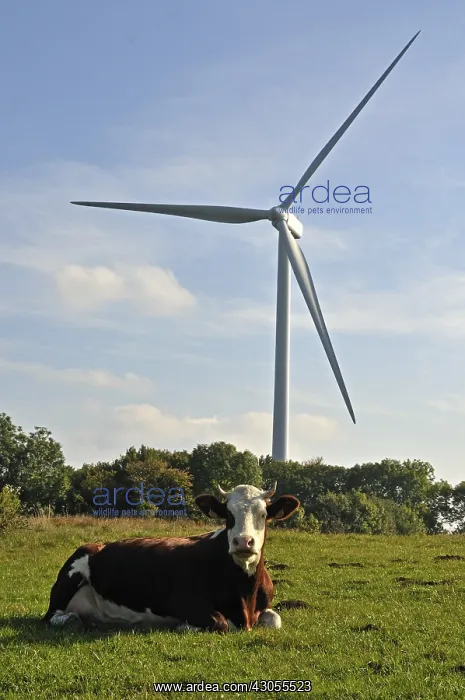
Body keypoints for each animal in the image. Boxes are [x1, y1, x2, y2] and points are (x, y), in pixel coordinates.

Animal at [43, 482, 300, 633]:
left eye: (264, 514)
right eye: (228, 515)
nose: (243, 542)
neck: (244, 595)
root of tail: (98, 545)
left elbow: (275, 620)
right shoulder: (182, 602)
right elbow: (220, 622)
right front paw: (185, 627)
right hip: (72, 574)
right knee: (52, 616)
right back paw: (72, 620)